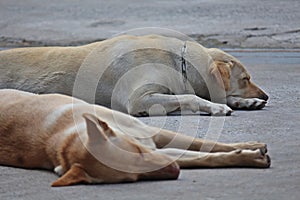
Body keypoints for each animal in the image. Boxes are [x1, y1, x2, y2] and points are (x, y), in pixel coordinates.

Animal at [0, 90, 270, 187]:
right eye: (132, 178)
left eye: (139, 152)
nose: (174, 171)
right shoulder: (161, 153)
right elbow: (206, 157)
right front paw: (249, 157)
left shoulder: (153, 136)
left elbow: (207, 144)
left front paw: (250, 146)